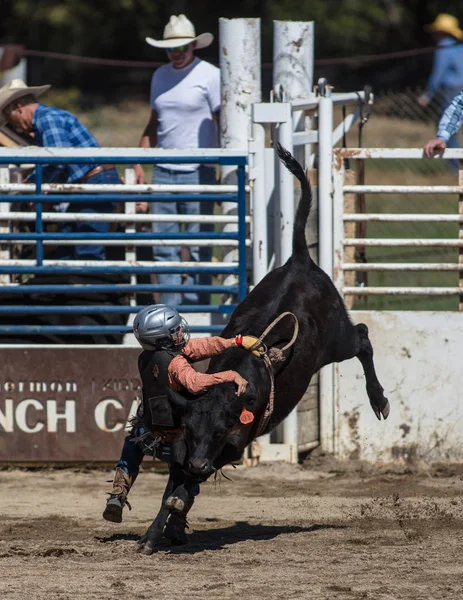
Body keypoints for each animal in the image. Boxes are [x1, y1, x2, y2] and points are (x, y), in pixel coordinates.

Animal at [136, 144, 390, 552]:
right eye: (192, 430)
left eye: (221, 430)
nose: (199, 465)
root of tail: (300, 259)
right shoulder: (184, 442)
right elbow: (174, 483)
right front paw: (157, 531)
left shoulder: (235, 444)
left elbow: (186, 485)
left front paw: (174, 513)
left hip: (337, 339)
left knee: (363, 337)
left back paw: (379, 400)